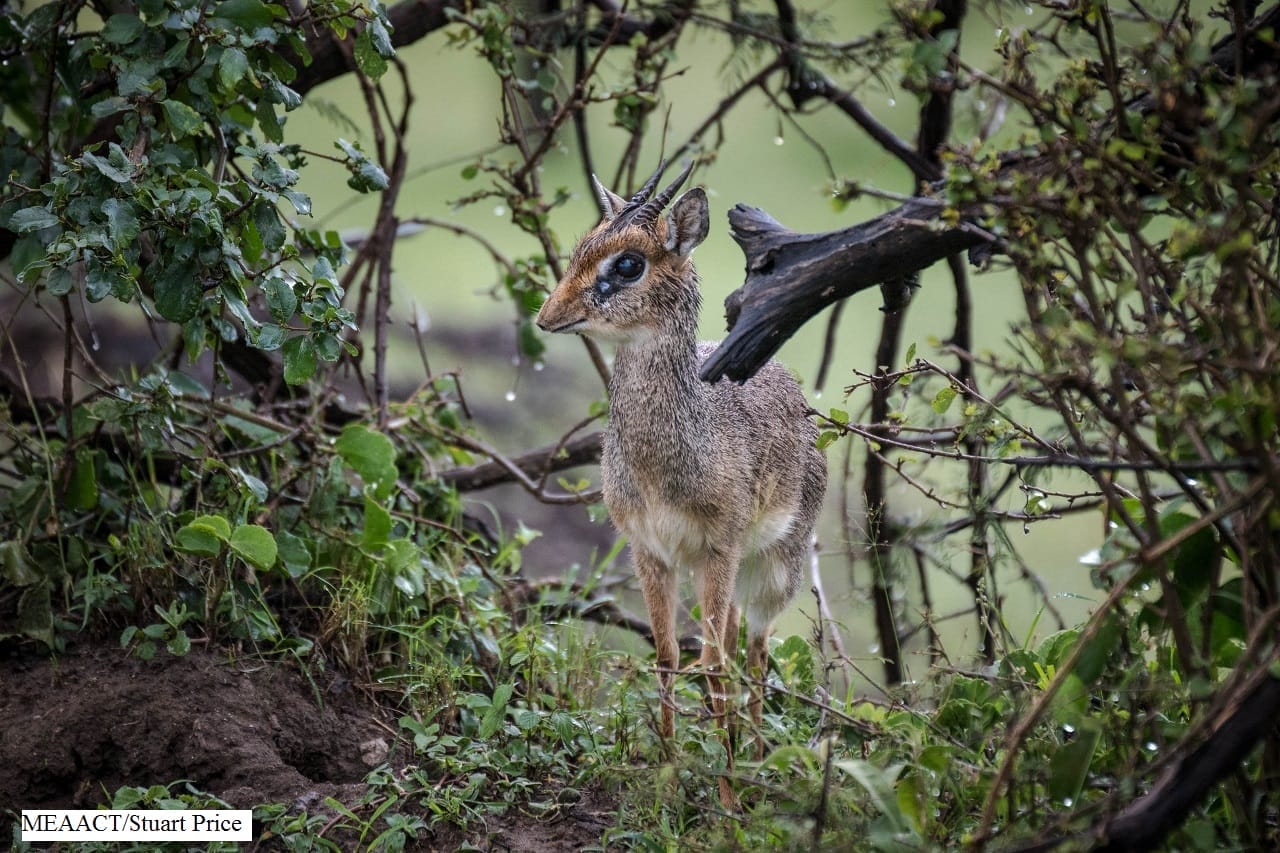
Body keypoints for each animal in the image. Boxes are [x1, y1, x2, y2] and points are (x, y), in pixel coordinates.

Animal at [532, 159, 824, 804]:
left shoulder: (720, 547)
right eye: (583, 246)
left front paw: (727, 798)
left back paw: (758, 764)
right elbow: (667, 656)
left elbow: (712, 664)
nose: (548, 315)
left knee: (755, 652)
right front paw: (667, 777)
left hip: (770, 570)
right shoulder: (651, 551)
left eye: (628, 263)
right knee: (734, 648)